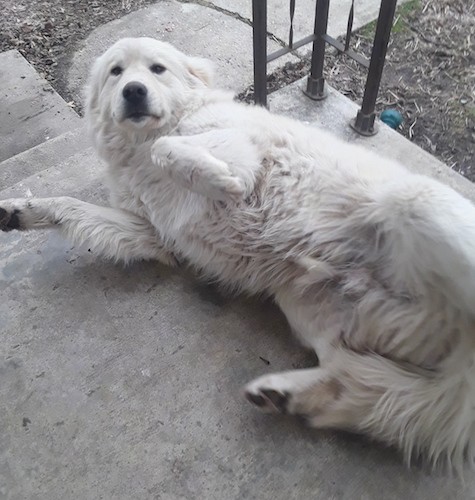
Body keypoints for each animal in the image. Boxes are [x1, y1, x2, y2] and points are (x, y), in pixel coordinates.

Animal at [0, 37, 475, 470]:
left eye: (156, 69)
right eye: (116, 72)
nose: (133, 91)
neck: (145, 141)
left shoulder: (241, 150)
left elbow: (171, 151)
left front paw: (218, 181)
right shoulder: (150, 234)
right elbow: (75, 208)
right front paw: (20, 211)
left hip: (414, 203)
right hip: (311, 309)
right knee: (357, 384)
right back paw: (285, 394)